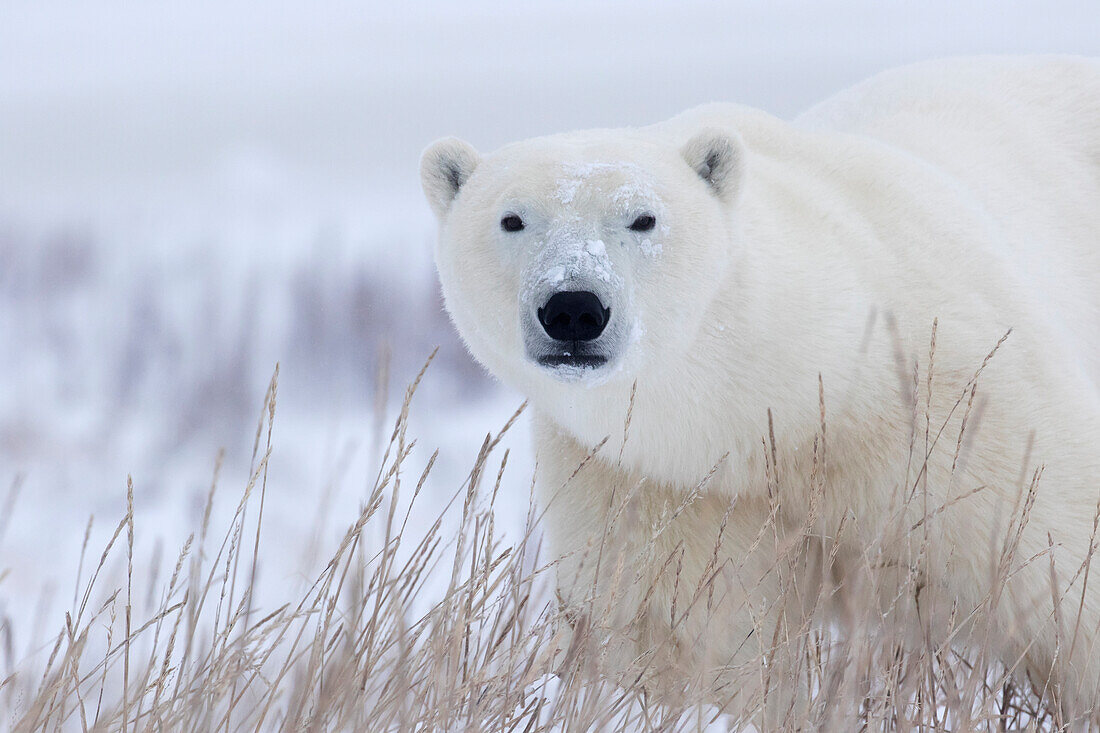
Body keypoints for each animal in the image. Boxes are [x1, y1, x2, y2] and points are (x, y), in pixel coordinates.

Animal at [420, 57, 1100, 717]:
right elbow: (689, 638)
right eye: (511, 219)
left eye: (643, 218)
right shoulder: (662, 483)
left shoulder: (961, 411)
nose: (573, 308)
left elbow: (1062, 577)